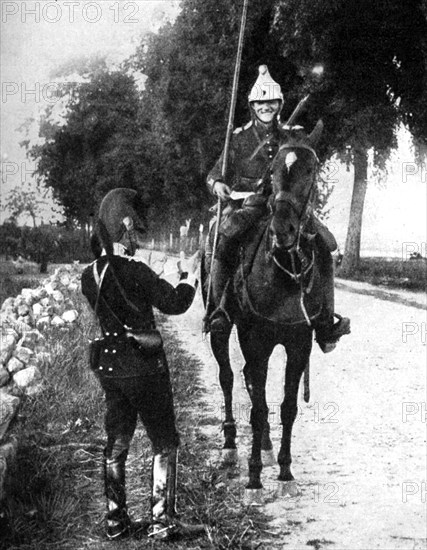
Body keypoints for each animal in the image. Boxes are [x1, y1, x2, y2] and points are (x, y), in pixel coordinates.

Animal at [202, 123, 326, 502]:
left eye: (311, 169)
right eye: (272, 172)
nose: (283, 231)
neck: (283, 273)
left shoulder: (298, 344)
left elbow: (287, 407)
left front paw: (285, 473)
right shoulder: (255, 341)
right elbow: (256, 409)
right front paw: (254, 479)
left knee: (247, 380)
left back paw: (268, 448)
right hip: (222, 328)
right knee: (228, 376)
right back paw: (230, 446)